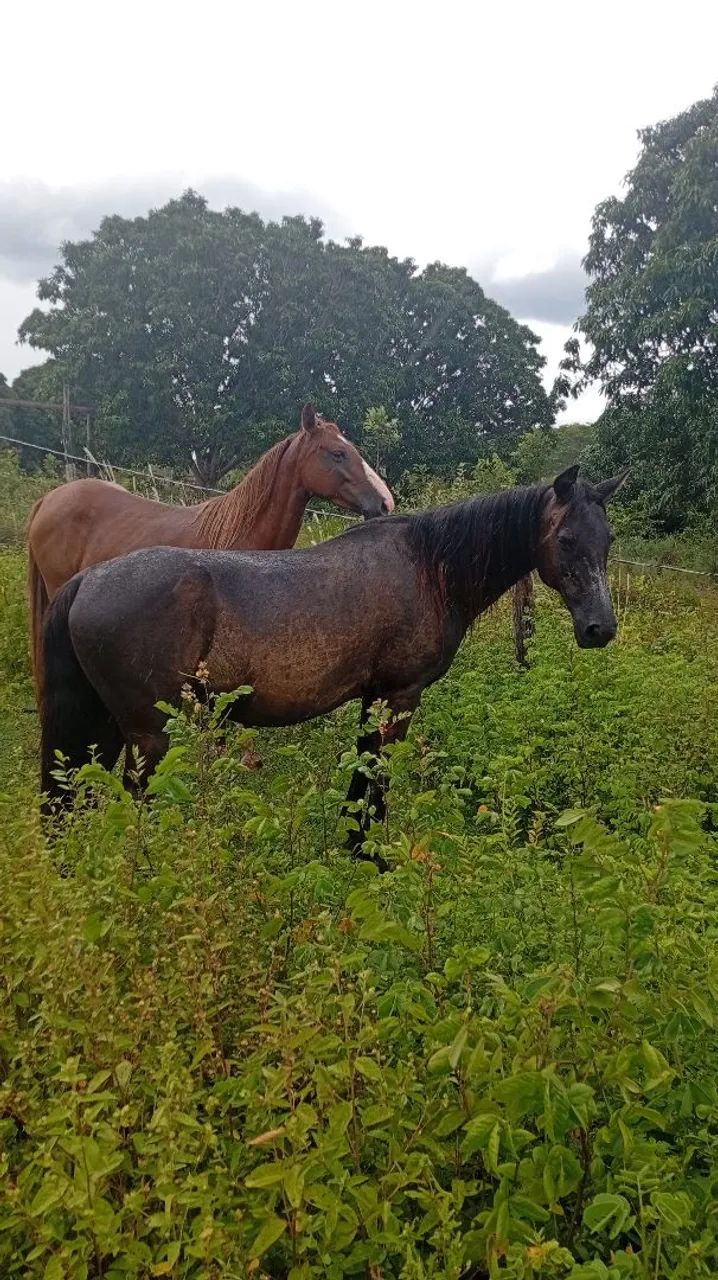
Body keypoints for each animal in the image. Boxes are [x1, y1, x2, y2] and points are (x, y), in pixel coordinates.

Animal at [40, 465, 627, 844]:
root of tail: (86, 582)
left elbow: (363, 776)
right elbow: (378, 781)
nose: (600, 628)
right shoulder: (400, 696)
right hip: (150, 736)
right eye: (567, 539)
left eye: (609, 539)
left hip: (103, 732)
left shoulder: (373, 696)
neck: (429, 566)